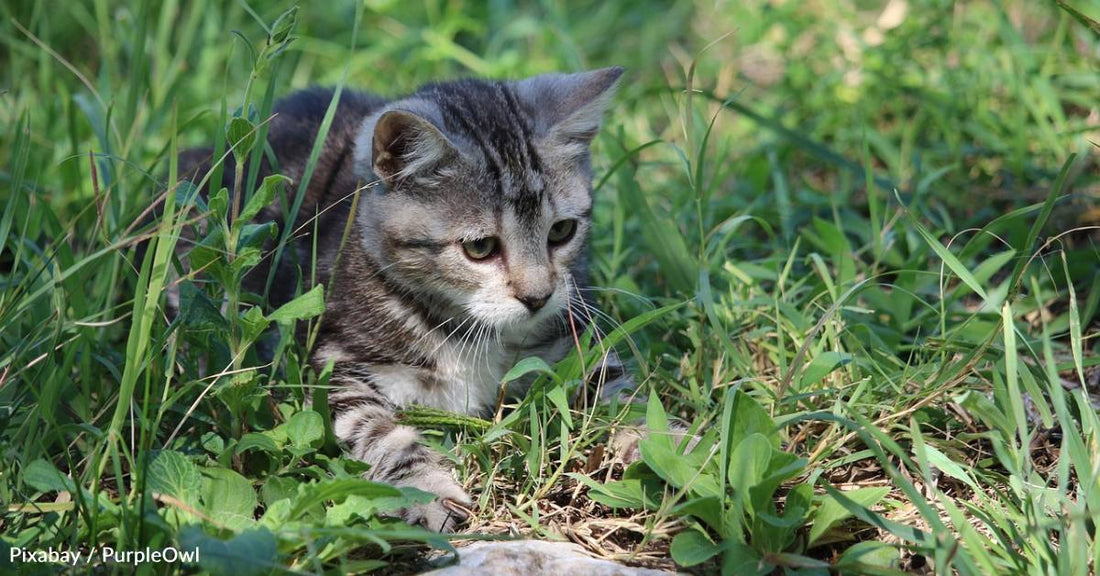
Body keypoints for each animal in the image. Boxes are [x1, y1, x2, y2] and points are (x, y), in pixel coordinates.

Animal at [178, 67, 629, 532]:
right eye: (480, 248)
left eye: (561, 232)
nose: (538, 297)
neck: (472, 329)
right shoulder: (330, 365)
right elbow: (378, 432)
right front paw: (427, 489)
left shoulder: (575, 339)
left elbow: (616, 392)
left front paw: (646, 441)